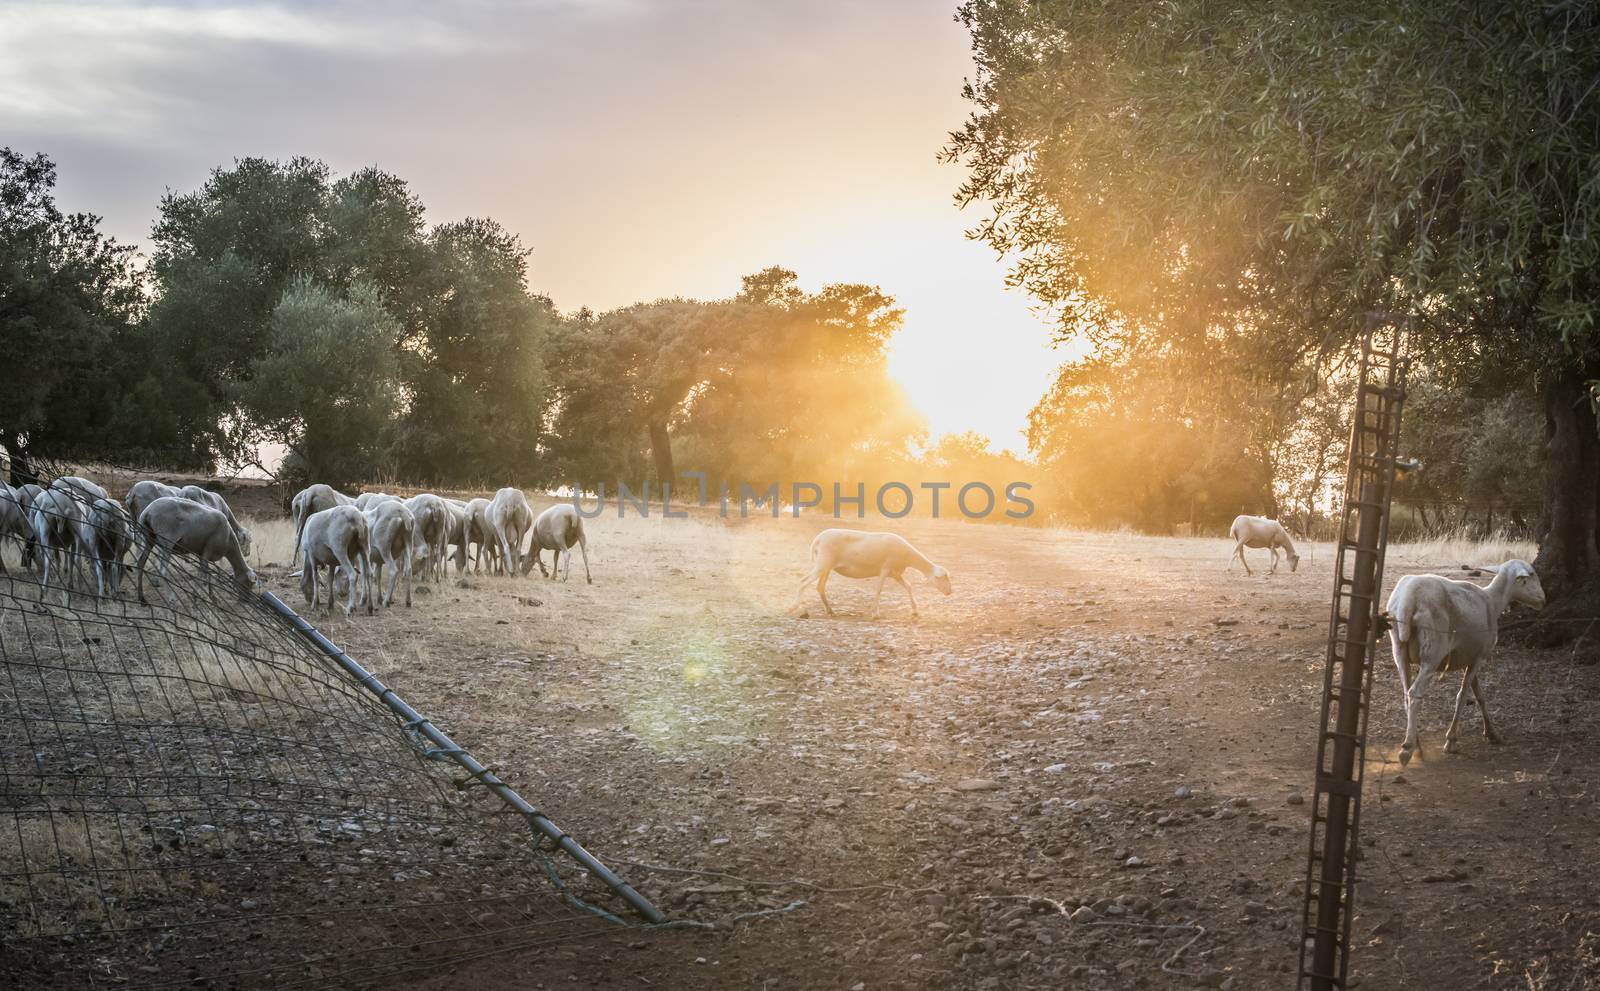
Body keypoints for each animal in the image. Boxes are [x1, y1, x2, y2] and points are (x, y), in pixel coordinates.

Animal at [790, 528, 947, 621]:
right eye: (943, 578)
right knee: (803, 581)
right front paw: (875, 613)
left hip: (827, 567)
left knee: (820, 587)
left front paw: (915, 611)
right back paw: (795, 607)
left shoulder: (895, 573)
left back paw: (831, 611)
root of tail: (818, 539)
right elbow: (879, 590)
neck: (908, 556)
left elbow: (908, 586)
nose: (949, 592)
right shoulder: (885, 569)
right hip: (823, 564)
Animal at [1382, 557, 1542, 768]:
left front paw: (1492, 733)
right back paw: (1408, 748)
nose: (1543, 599)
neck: (1494, 601)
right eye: (1531, 574)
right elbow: (1463, 695)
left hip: (1399, 651)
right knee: (1415, 693)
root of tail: (1408, 598)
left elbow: (1480, 695)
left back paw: (1417, 745)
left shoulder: (1469, 658)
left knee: (1406, 694)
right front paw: (1451, 741)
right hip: (1432, 653)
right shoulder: (1480, 657)